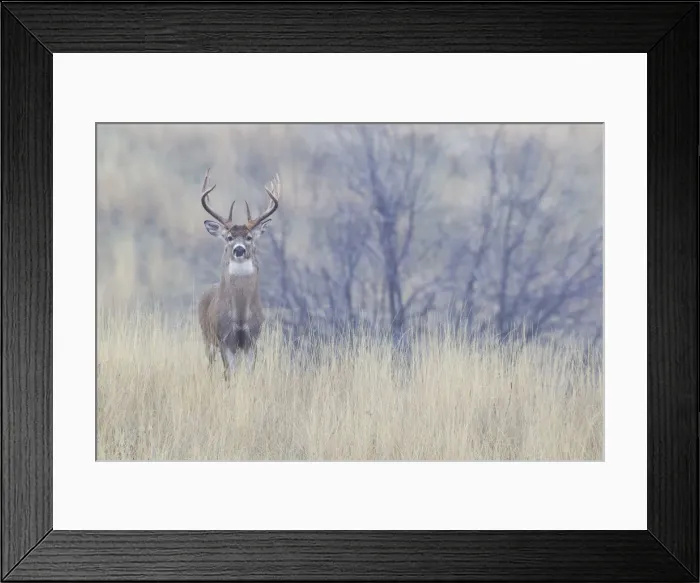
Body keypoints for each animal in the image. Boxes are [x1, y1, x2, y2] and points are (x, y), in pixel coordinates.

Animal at [196, 168, 281, 377]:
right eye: (229, 237)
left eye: (249, 237)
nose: (239, 249)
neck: (241, 316)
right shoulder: (225, 339)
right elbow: (229, 374)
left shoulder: (252, 339)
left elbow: (249, 373)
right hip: (206, 337)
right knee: (210, 365)